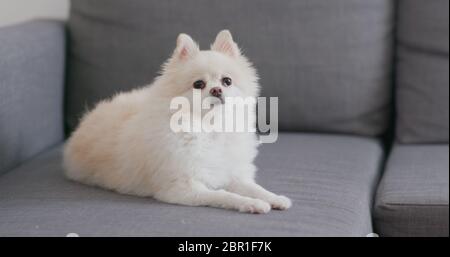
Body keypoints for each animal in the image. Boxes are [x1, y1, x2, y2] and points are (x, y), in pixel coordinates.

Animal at [65, 30, 294, 213]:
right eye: (198, 84)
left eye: (227, 81)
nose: (216, 90)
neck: (210, 127)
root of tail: (89, 116)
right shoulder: (183, 188)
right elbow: (224, 194)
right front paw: (251, 203)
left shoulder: (233, 175)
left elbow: (254, 188)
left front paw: (274, 198)